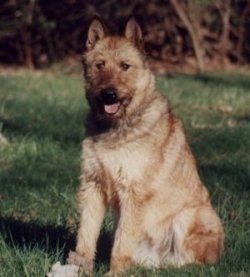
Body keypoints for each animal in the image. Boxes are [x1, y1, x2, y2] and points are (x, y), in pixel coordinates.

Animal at [67, 16, 225, 274]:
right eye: (100, 65)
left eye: (125, 66)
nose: (109, 94)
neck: (116, 126)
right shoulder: (93, 186)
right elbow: (86, 236)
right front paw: (80, 268)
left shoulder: (133, 192)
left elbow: (121, 244)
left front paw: (114, 273)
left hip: (192, 215)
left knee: (190, 260)